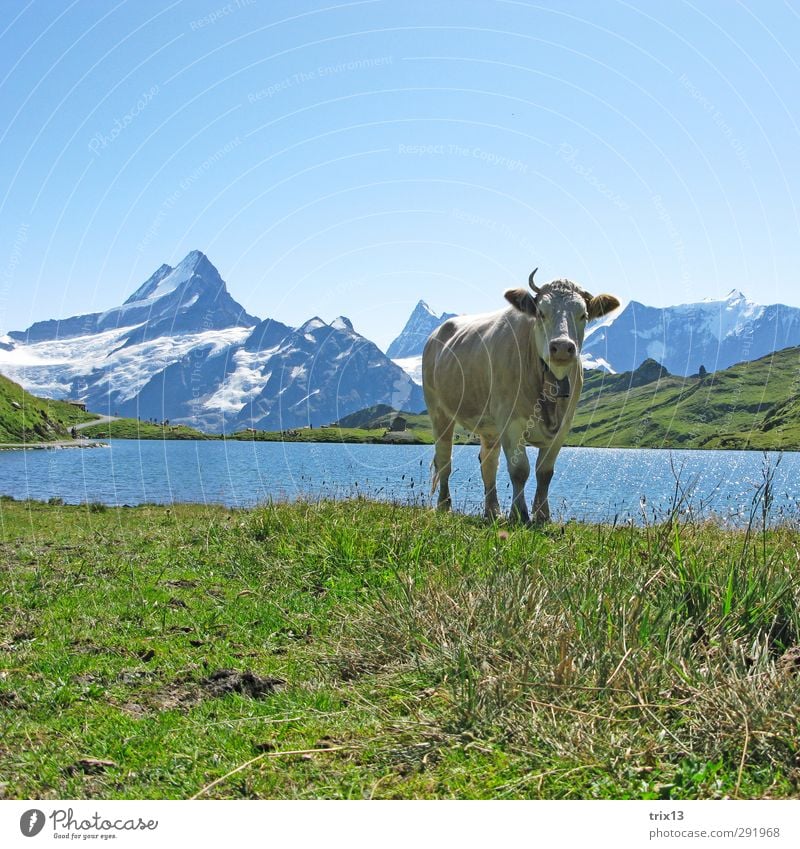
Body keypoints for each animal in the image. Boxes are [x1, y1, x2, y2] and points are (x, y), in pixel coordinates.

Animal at [422, 272, 620, 524]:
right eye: (541, 312)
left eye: (583, 315)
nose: (562, 347)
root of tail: (436, 334)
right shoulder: (511, 421)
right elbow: (519, 470)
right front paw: (519, 514)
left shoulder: (563, 427)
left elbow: (544, 472)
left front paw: (543, 516)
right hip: (439, 411)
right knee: (444, 459)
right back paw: (444, 505)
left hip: (489, 427)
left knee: (488, 463)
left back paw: (492, 511)